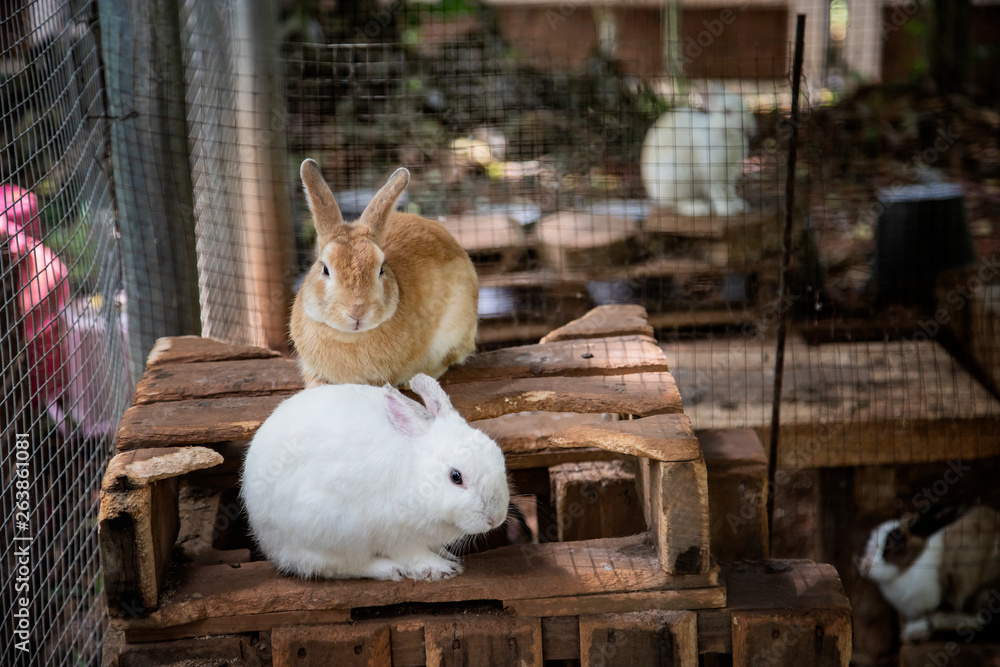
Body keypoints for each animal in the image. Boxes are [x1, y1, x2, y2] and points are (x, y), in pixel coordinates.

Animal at [240, 373, 510, 581]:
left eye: (498, 454)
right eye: (456, 477)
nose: (495, 519)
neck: (416, 477)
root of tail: (270, 544)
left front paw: (446, 556)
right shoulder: (396, 534)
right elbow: (413, 555)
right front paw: (440, 569)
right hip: (334, 532)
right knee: (341, 567)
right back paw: (388, 569)